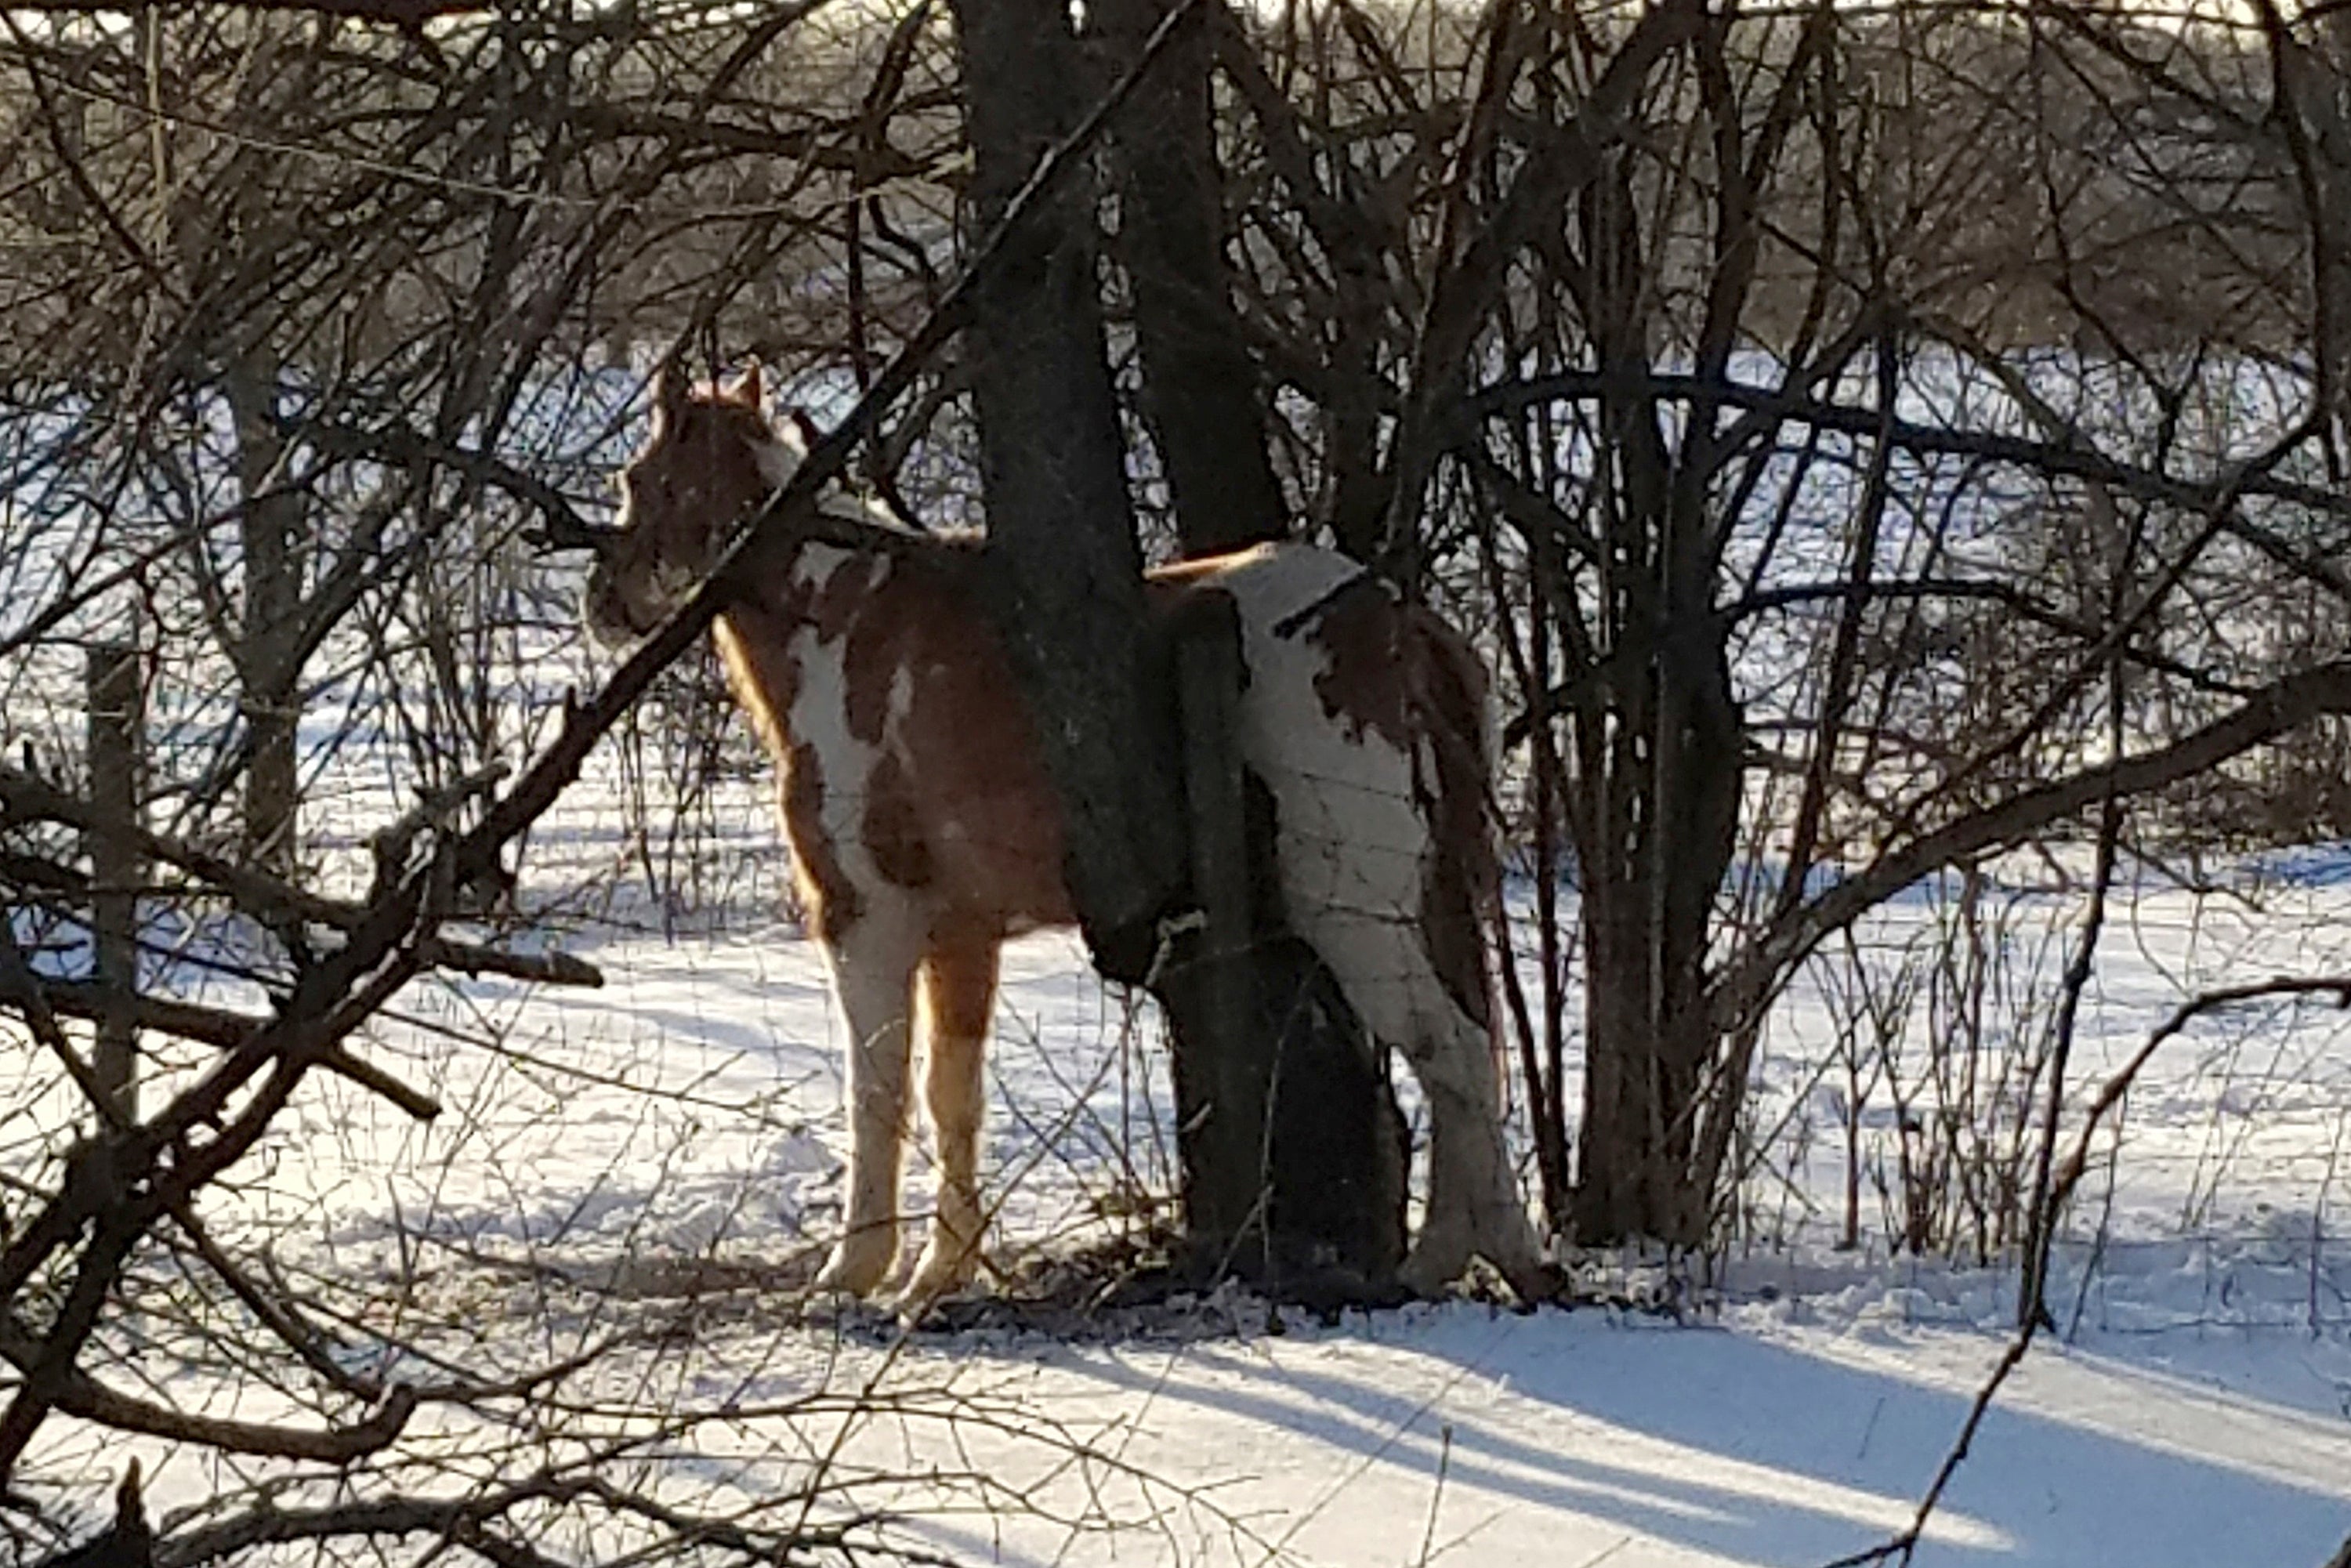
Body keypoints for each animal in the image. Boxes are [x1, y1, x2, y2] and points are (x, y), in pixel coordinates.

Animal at [585, 362, 1542, 1307]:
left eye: (642, 479)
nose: (604, 603)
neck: (848, 630)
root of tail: (1395, 622)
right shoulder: (963, 932)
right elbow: (953, 1095)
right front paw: (940, 1270)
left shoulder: (867, 917)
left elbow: (879, 1089)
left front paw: (856, 1269)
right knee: (1466, 1047)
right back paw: (1473, 1253)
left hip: (1359, 905)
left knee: (1451, 1050)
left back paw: (1473, 1258)